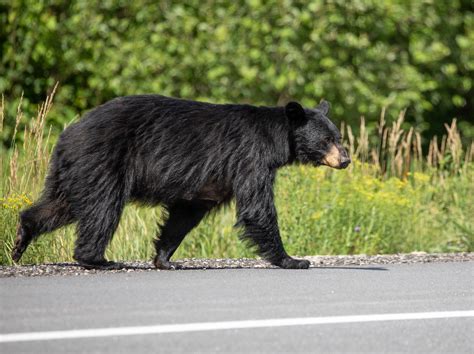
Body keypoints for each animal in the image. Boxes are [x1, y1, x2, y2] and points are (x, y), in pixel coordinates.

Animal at [12, 95, 348, 270]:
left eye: (338, 137)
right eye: (327, 140)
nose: (345, 159)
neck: (275, 141)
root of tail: (67, 135)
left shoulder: (208, 184)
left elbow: (184, 214)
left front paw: (165, 260)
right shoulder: (249, 159)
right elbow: (257, 209)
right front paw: (292, 259)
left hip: (76, 171)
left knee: (59, 205)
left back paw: (20, 239)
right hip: (103, 162)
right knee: (102, 209)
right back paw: (98, 259)